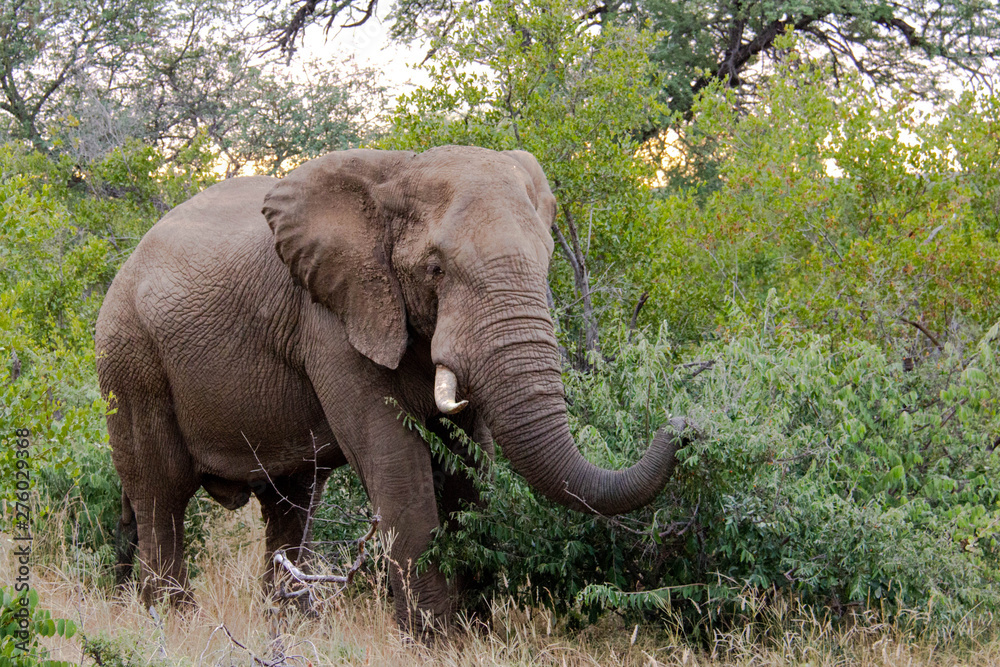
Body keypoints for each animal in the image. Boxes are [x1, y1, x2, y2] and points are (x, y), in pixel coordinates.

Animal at [95, 145, 689, 631]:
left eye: (546, 259)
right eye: (435, 268)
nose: (682, 427)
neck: (399, 172)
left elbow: (467, 461)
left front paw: (472, 632)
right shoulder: (332, 315)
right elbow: (391, 456)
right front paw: (433, 638)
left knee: (291, 503)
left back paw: (290, 624)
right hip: (130, 361)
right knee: (160, 495)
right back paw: (176, 622)